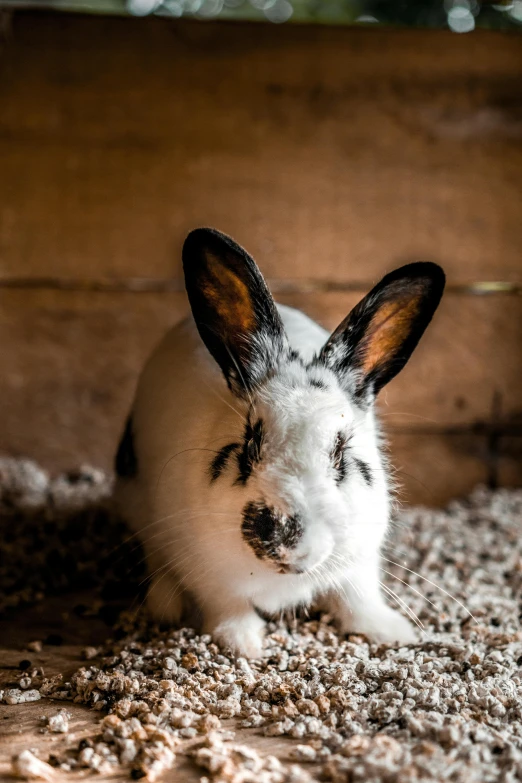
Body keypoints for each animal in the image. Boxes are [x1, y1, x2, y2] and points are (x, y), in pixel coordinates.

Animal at [116, 228, 444, 660]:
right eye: (250, 443)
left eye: (341, 452)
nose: (289, 543)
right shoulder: (206, 570)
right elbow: (228, 605)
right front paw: (243, 643)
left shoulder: (360, 560)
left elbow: (358, 598)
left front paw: (391, 631)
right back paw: (164, 605)